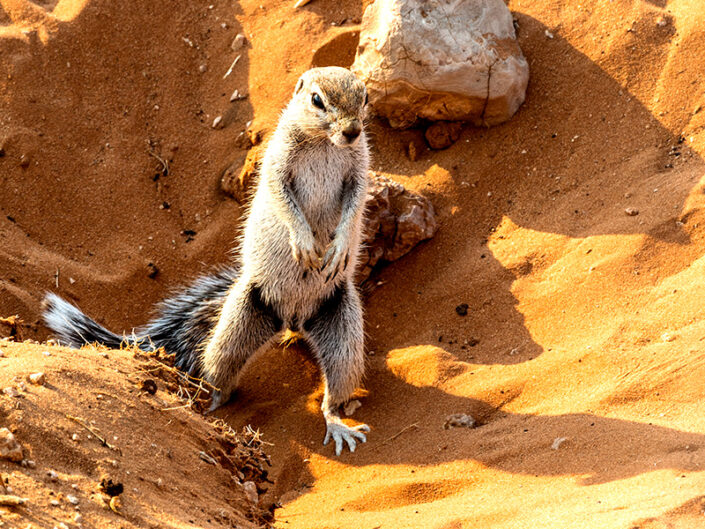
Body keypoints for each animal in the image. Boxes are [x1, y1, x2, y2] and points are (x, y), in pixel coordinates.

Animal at [42, 65, 374, 454]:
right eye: (317, 100)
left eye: (365, 97)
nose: (352, 131)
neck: (325, 143)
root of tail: (293, 319)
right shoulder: (278, 163)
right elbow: (283, 199)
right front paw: (305, 243)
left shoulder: (359, 170)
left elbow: (354, 203)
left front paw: (339, 248)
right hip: (238, 323)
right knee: (219, 372)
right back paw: (210, 405)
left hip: (343, 332)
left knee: (334, 393)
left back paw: (337, 424)